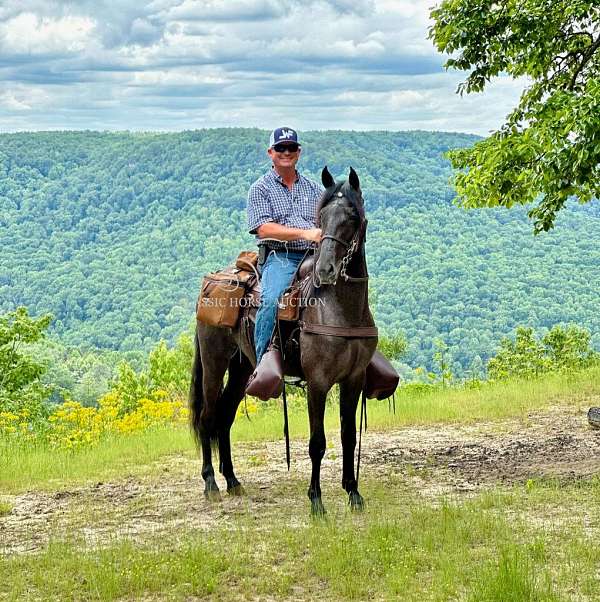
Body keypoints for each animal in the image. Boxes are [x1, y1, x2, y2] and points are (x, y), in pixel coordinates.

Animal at [190, 166, 378, 512]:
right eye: (321, 218)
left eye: (352, 217)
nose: (326, 269)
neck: (340, 310)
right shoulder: (318, 381)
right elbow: (317, 443)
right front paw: (316, 502)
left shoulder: (354, 379)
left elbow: (349, 436)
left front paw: (353, 493)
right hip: (213, 362)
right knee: (208, 417)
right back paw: (211, 483)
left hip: (241, 370)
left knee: (224, 416)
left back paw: (233, 480)